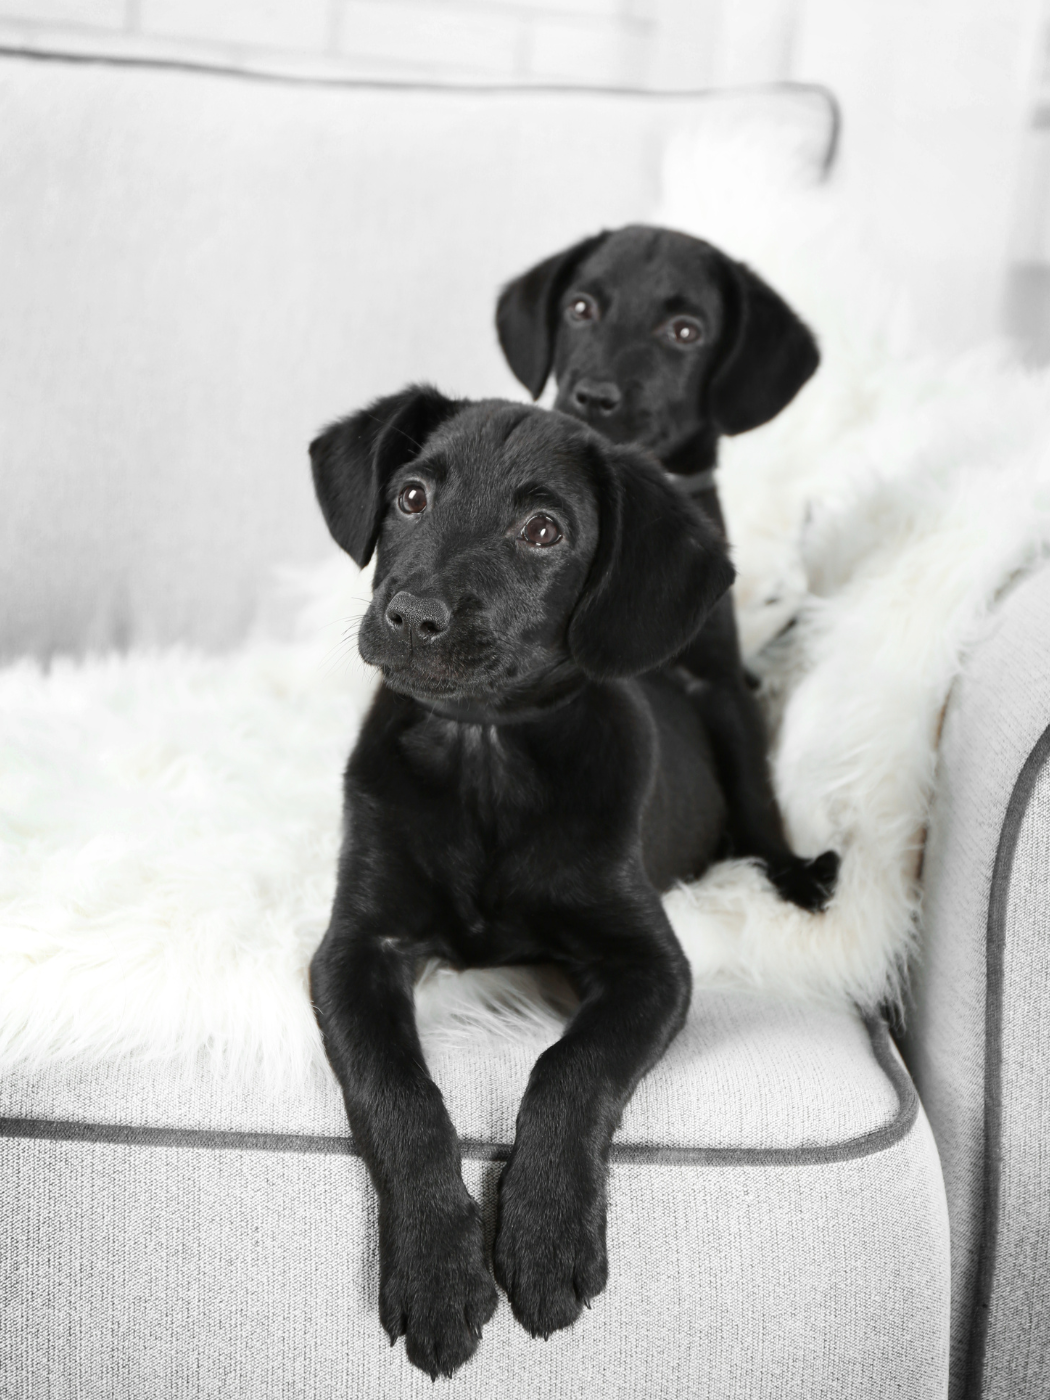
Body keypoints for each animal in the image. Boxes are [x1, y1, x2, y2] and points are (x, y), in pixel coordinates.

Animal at [310, 383, 739, 1377]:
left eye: (543, 532)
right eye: (411, 498)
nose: (411, 614)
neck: (484, 750)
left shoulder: (651, 966)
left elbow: (569, 1066)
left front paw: (545, 1238)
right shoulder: (354, 948)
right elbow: (398, 1092)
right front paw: (438, 1269)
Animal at [498, 225, 845, 912]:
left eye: (686, 331)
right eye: (580, 308)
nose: (593, 396)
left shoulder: (718, 681)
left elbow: (754, 786)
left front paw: (784, 868)